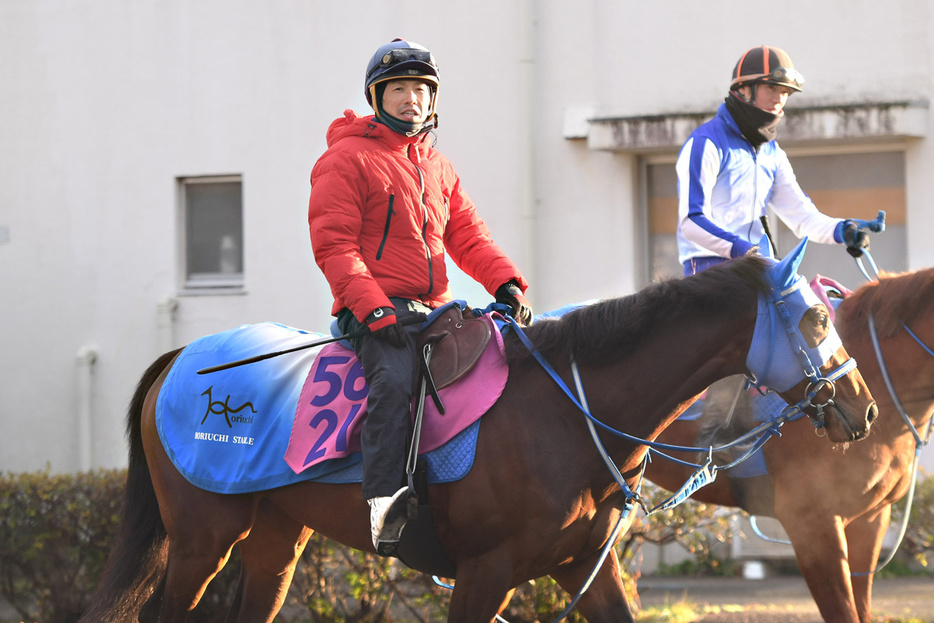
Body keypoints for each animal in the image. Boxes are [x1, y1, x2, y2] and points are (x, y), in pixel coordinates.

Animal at [82, 244, 876, 623]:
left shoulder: (582, 568)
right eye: (815, 318)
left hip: (277, 538)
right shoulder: (485, 572)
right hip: (199, 540)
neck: (565, 413)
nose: (864, 408)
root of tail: (178, 358)